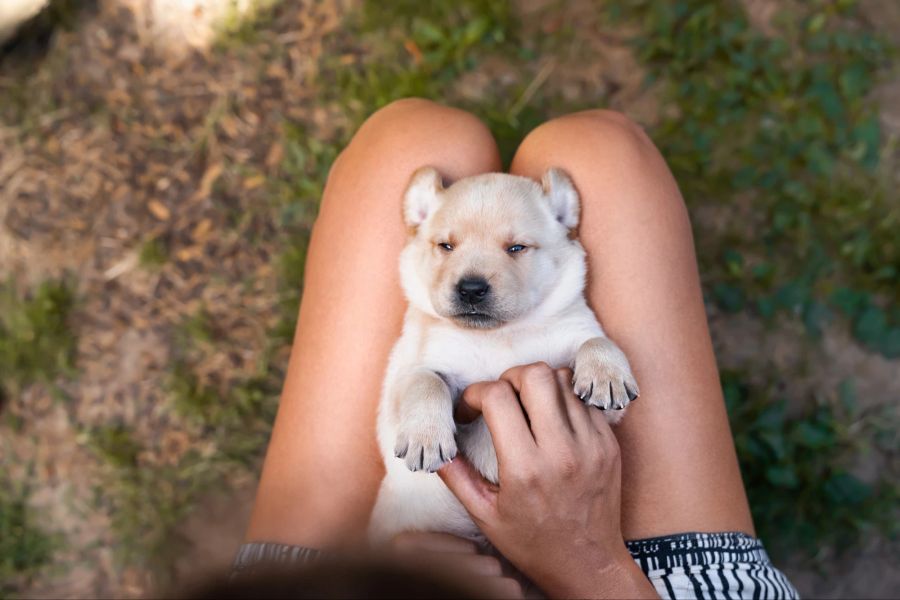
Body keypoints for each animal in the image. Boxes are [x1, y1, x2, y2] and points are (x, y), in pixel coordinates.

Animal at [368, 165, 640, 544]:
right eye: (446, 246)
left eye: (516, 248)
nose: (470, 289)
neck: (499, 334)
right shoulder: (407, 376)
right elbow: (425, 381)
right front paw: (427, 436)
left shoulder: (602, 404)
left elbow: (595, 342)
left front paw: (606, 375)